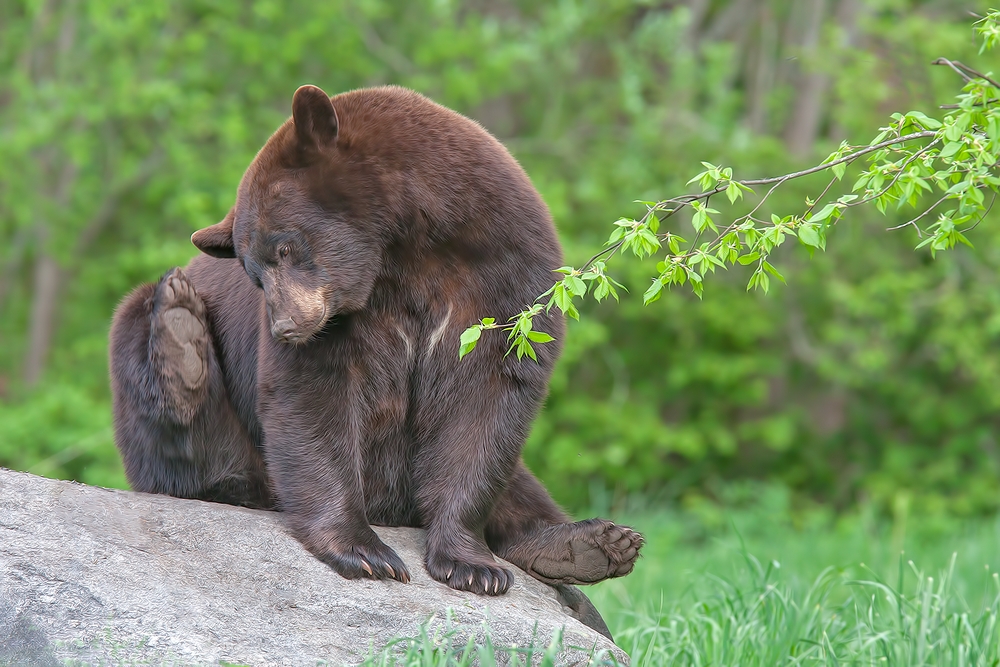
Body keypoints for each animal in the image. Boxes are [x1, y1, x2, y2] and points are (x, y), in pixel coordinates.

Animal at [109, 85, 640, 596]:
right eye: (252, 274)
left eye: (285, 246)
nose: (285, 326)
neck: (406, 249)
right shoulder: (341, 320)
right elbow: (312, 398)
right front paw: (366, 552)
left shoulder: (503, 272)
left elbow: (488, 398)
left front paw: (473, 565)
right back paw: (181, 335)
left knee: (522, 487)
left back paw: (592, 543)